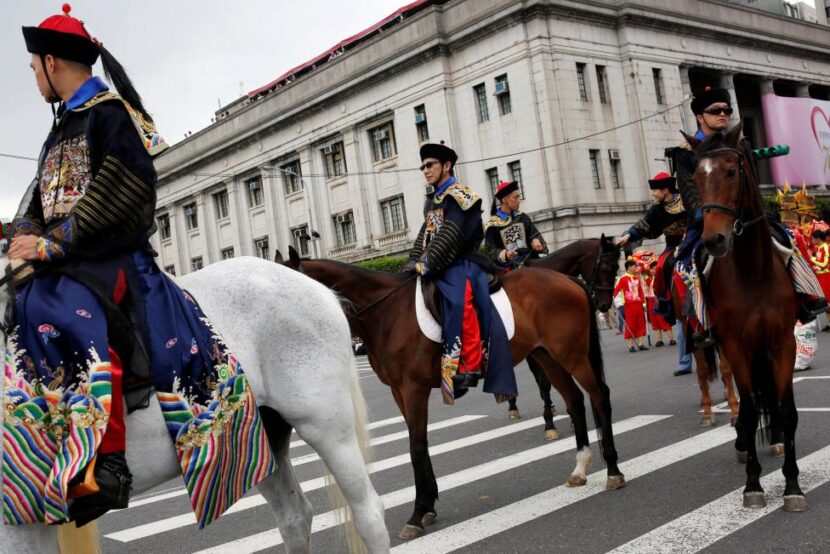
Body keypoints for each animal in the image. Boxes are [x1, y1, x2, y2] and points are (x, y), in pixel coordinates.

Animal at [0, 256, 392, 552]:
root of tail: (314, 285)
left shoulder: (19, 519)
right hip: (260, 437)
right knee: (295, 517)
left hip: (326, 426)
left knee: (369, 513)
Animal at [504, 233, 620, 436]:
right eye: (606, 267)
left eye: (616, 268)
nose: (605, 305)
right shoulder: (536, 350)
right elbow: (544, 383)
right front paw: (549, 424)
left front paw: (570, 416)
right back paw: (512, 405)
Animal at [692, 123, 808, 512]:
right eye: (697, 177)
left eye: (732, 171)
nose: (714, 240)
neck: (753, 270)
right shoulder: (736, 346)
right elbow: (746, 409)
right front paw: (754, 484)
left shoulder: (782, 343)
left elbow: (786, 411)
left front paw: (792, 486)